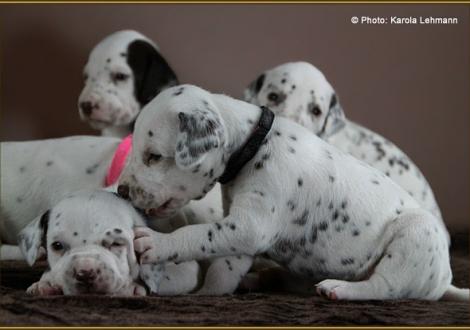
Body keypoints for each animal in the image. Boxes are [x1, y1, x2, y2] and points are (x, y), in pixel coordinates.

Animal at [17, 189, 198, 296]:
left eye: (116, 244)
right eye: (57, 246)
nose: (85, 272)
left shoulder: (186, 270)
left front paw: (132, 288)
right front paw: (44, 284)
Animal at [119, 85, 468, 302]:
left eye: (154, 156)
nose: (121, 191)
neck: (255, 143)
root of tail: (443, 281)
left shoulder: (250, 225)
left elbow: (197, 233)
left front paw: (157, 243)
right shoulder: (238, 232)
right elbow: (222, 268)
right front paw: (207, 294)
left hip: (414, 236)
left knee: (384, 286)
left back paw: (339, 289)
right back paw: (261, 279)